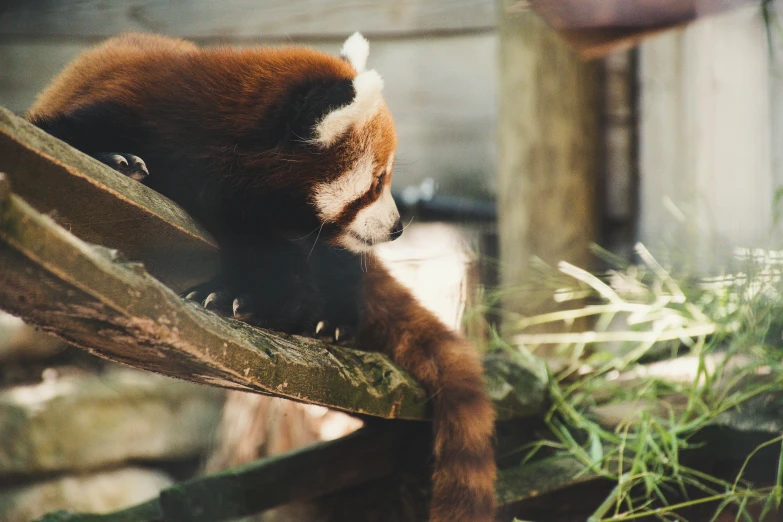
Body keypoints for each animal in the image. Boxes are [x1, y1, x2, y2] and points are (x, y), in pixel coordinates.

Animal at [29, 32, 496, 520]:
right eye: (374, 185)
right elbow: (56, 129)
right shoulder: (126, 109)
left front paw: (242, 297)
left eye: (386, 183)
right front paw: (117, 159)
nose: (398, 228)